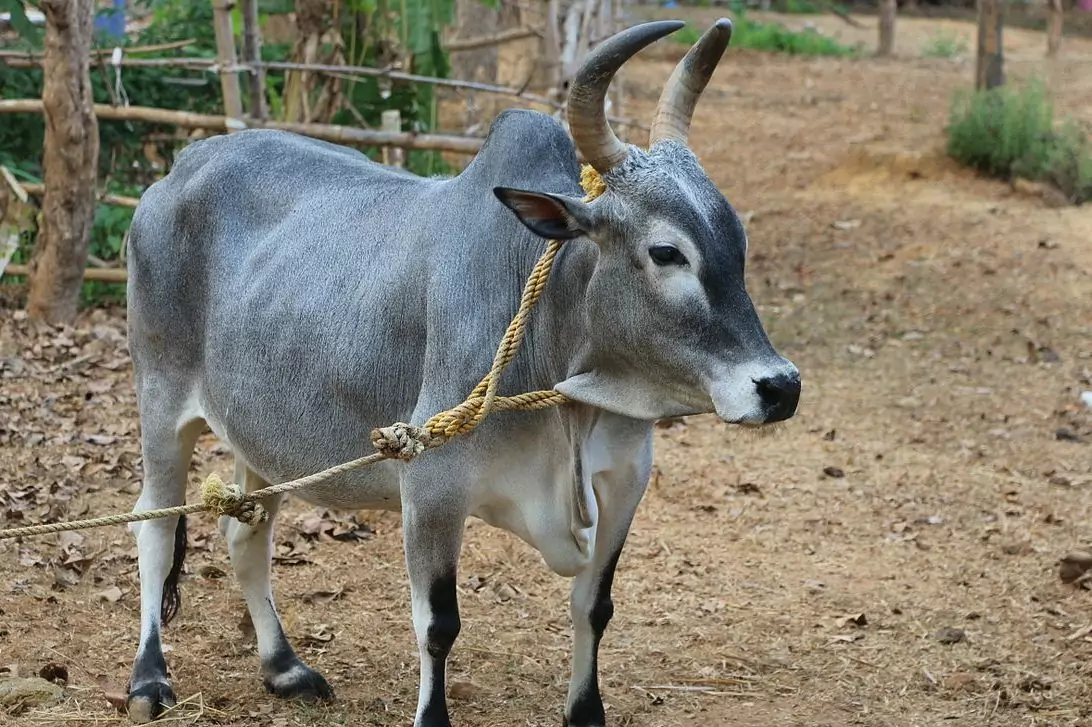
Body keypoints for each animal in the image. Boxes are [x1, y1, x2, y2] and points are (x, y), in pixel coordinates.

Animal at [123, 16, 803, 724]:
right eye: (666, 252)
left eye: (737, 242)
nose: (780, 387)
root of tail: (182, 166)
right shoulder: (431, 487)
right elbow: (438, 625)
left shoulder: (624, 482)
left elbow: (594, 606)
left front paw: (585, 710)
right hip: (160, 403)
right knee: (155, 526)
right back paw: (149, 679)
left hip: (263, 436)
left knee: (243, 534)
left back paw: (283, 666)